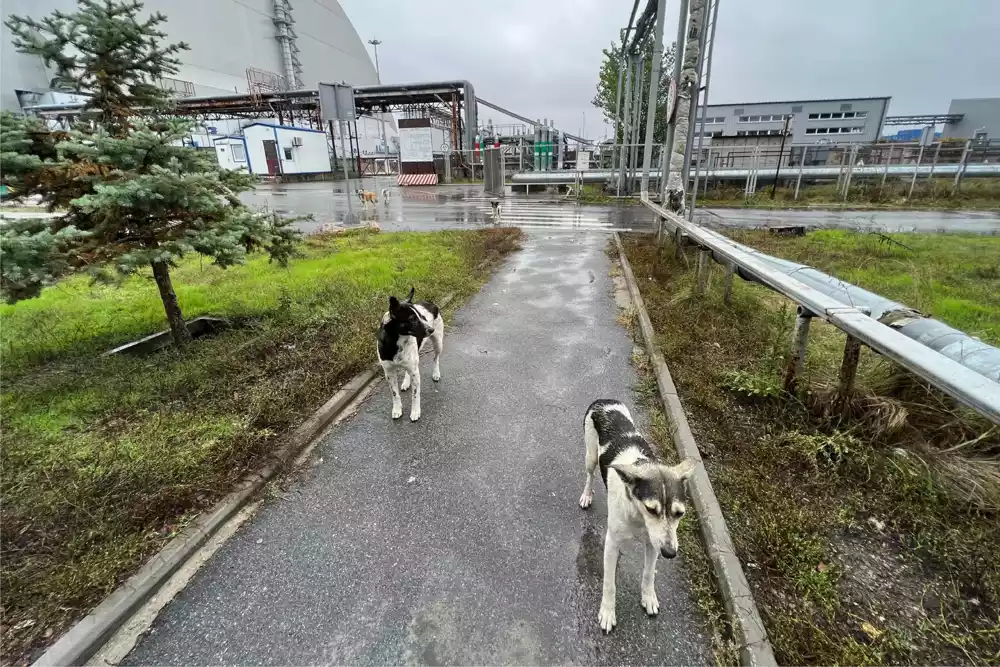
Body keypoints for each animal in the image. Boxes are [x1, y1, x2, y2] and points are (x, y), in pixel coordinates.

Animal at [376, 288, 444, 422]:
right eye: (412, 319)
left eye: (422, 317)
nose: (431, 329)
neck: (396, 342)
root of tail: (431, 303)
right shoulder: (389, 373)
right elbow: (395, 394)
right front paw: (397, 409)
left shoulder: (415, 372)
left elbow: (415, 394)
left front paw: (415, 411)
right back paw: (406, 382)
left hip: (438, 343)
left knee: (436, 358)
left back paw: (436, 373)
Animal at [580, 400, 696, 636]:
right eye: (651, 509)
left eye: (679, 513)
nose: (670, 553)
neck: (637, 515)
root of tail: (603, 400)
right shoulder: (611, 543)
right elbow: (609, 584)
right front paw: (608, 612)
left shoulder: (654, 544)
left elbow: (649, 573)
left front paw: (648, 597)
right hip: (590, 456)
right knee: (589, 475)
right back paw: (587, 494)